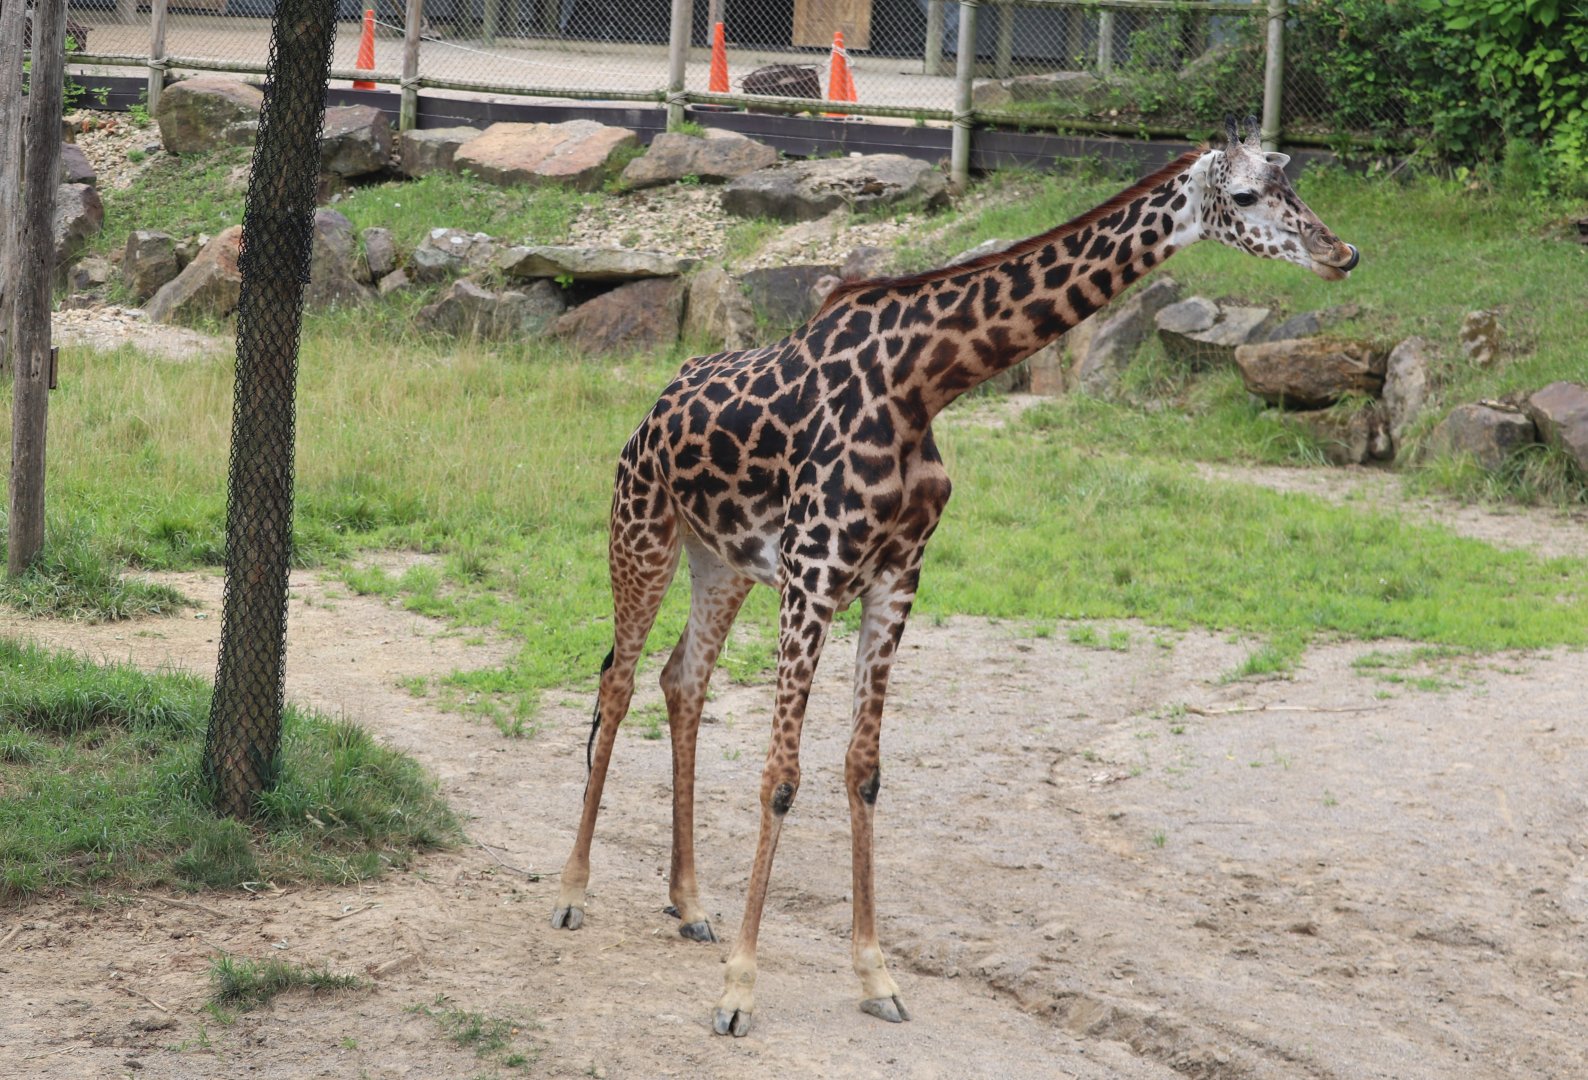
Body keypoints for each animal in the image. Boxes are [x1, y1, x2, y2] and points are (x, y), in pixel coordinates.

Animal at [549, 117, 1358, 1037]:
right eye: (1250, 195)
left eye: (1296, 184)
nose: (1342, 252)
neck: (925, 381)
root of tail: (656, 401)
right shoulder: (815, 573)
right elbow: (781, 775)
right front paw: (738, 992)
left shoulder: (895, 577)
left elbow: (863, 769)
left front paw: (875, 975)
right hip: (640, 530)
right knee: (617, 681)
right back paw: (573, 892)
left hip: (720, 562)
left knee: (681, 680)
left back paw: (688, 904)